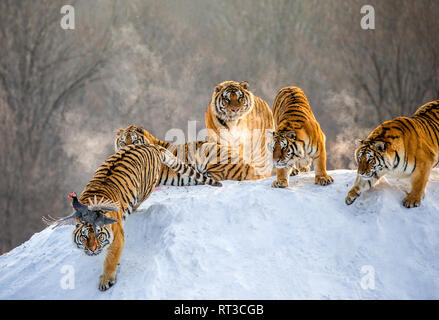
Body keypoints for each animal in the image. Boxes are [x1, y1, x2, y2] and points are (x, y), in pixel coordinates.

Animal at [43, 142, 222, 290]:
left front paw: (106, 280)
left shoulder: (116, 239)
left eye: (99, 235)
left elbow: (110, 260)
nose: (93, 250)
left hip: (146, 188)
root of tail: (150, 145)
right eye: (85, 236)